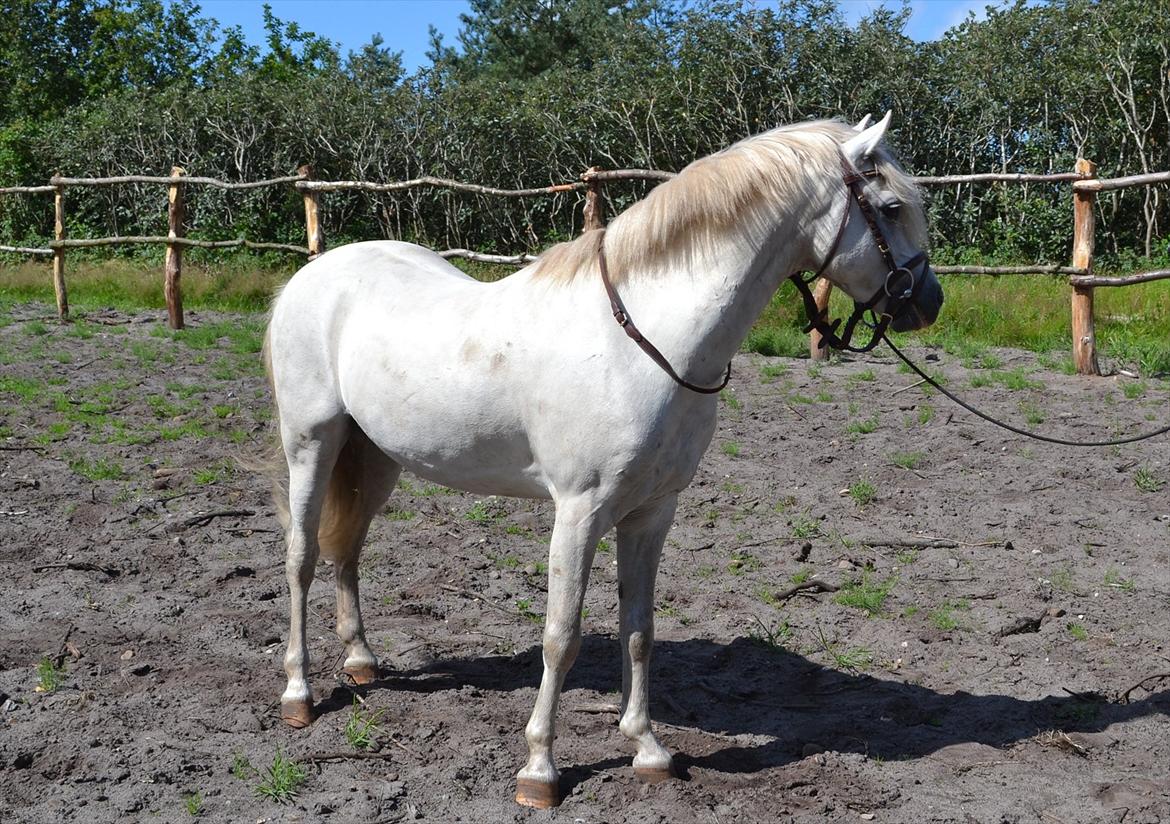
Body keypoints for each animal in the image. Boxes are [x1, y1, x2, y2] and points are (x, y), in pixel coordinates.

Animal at [262, 112, 942, 808]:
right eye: (891, 207)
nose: (927, 301)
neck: (645, 342)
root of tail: (313, 275)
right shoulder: (580, 512)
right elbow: (560, 637)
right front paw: (539, 770)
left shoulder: (652, 512)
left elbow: (639, 631)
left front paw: (647, 749)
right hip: (312, 445)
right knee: (301, 559)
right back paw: (299, 694)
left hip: (375, 458)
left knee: (348, 550)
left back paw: (361, 663)